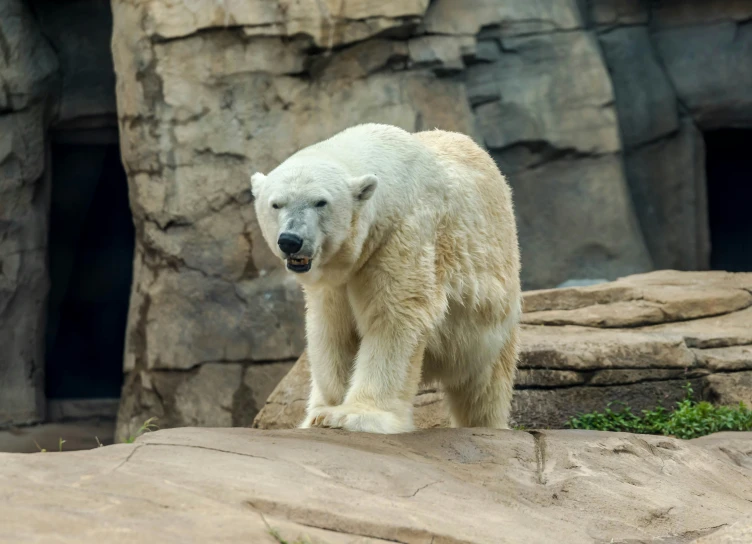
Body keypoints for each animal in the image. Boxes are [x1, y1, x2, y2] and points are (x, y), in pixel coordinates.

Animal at [250, 123, 520, 434]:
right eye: (276, 204)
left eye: (320, 202)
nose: (291, 241)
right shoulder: (335, 280)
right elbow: (332, 329)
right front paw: (322, 411)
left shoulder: (401, 236)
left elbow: (394, 317)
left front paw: (355, 416)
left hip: (490, 312)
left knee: (484, 386)